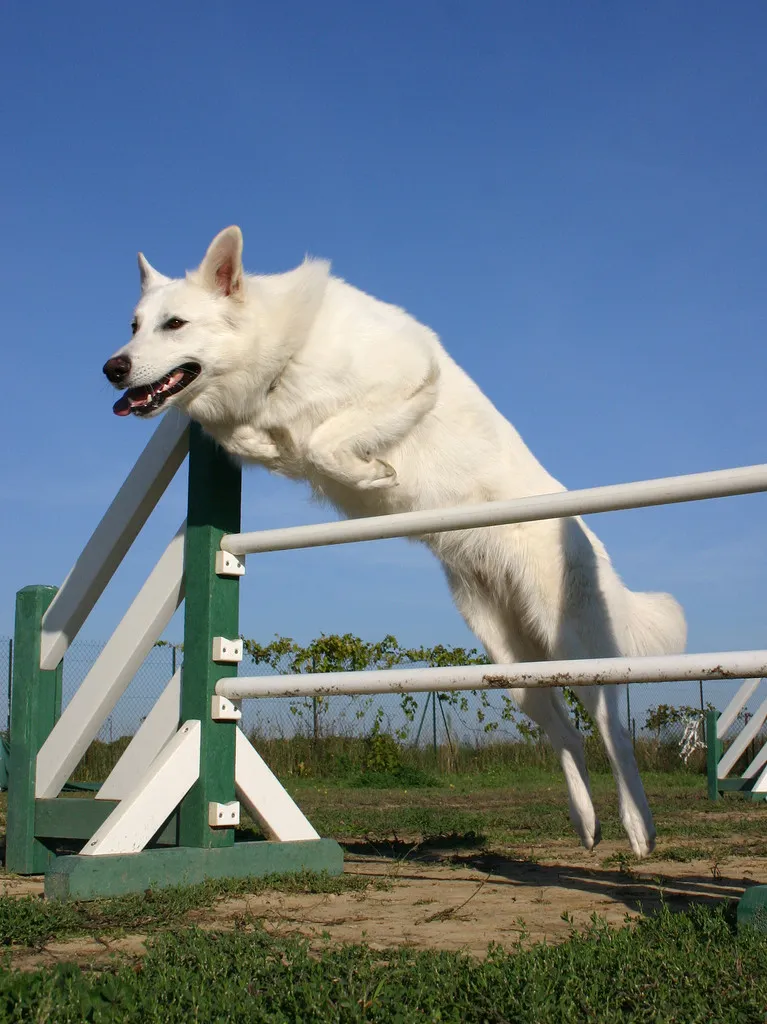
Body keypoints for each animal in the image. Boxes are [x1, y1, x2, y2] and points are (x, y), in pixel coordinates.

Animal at [104, 226, 684, 856]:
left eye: (175, 324)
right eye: (134, 324)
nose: (113, 368)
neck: (284, 351)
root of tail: (587, 540)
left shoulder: (409, 379)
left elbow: (323, 441)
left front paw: (374, 472)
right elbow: (265, 440)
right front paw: (283, 445)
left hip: (575, 648)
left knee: (613, 731)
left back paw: (638, 826)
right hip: (513, 667)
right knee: (568, 738)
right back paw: (586, 823)